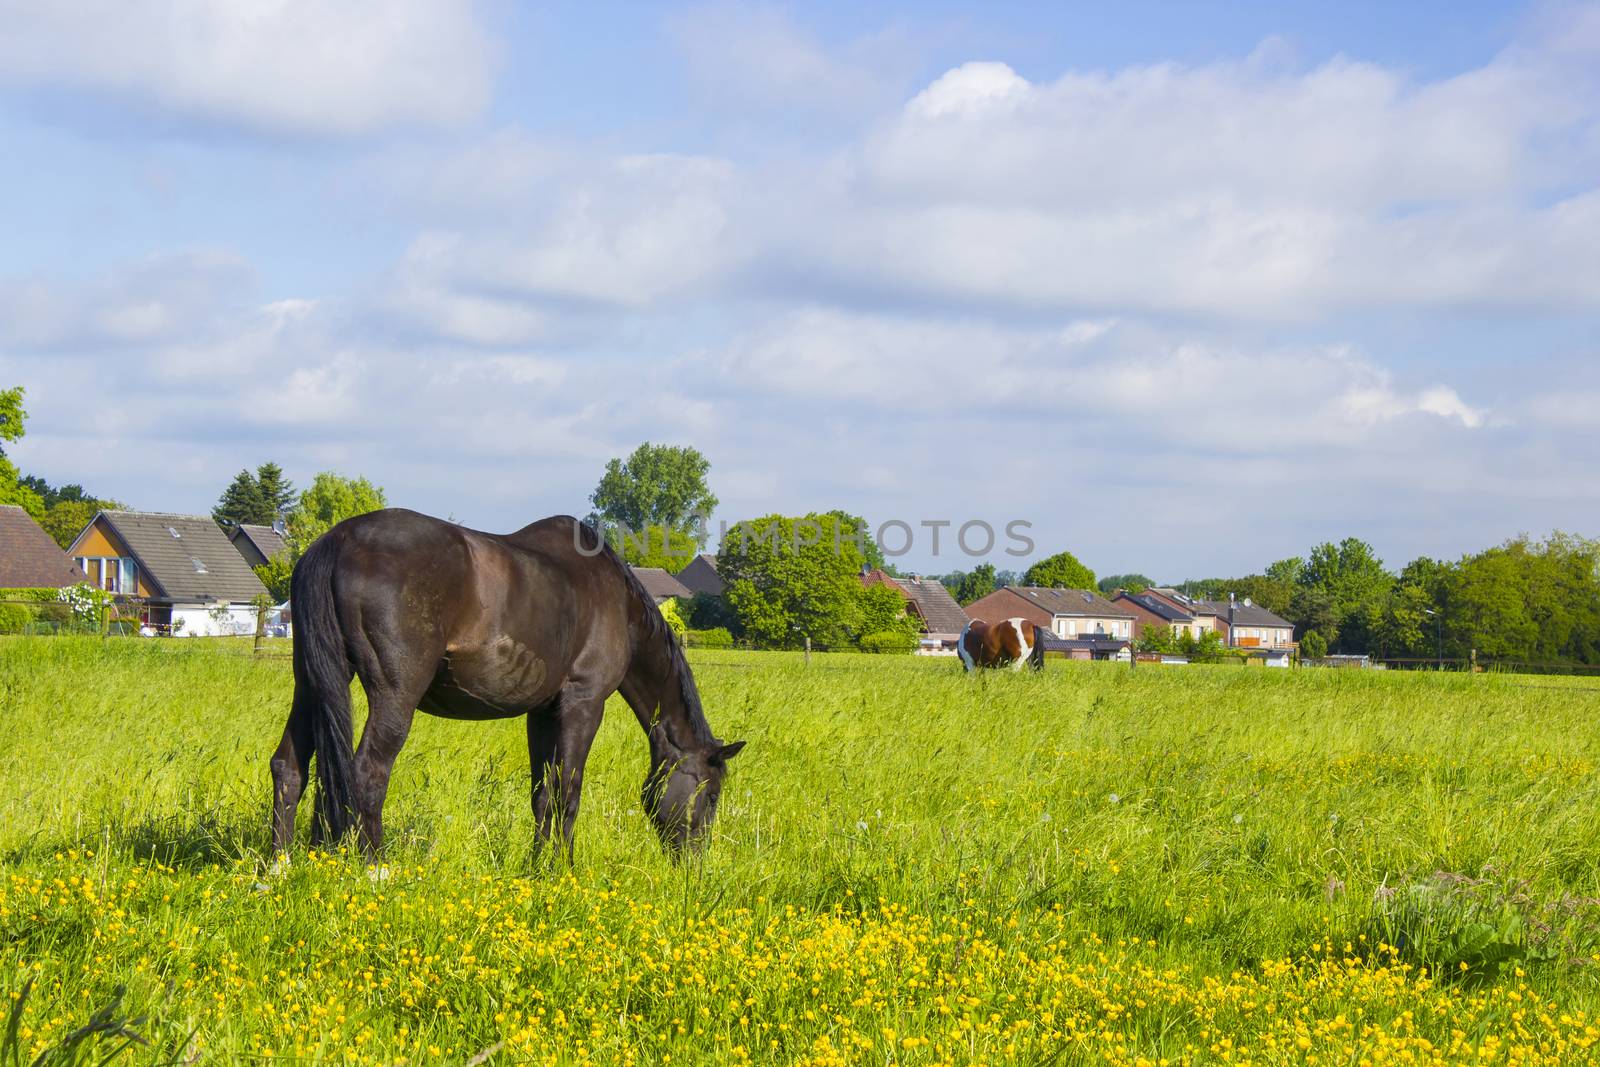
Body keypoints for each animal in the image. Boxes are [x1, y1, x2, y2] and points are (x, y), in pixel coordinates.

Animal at [268, 505, 742, 863]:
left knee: (290, 767)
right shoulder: (584, 704)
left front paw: (537, 866)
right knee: (367, 773)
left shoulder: (543, 712)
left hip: (311, 684)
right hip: (394, 696)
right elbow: (568, 792)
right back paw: (375, 868)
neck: (616, 602)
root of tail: (338, 540)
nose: (695, 865)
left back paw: (279, 867)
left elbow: (543, 795)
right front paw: (564, 871)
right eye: (712, 795)